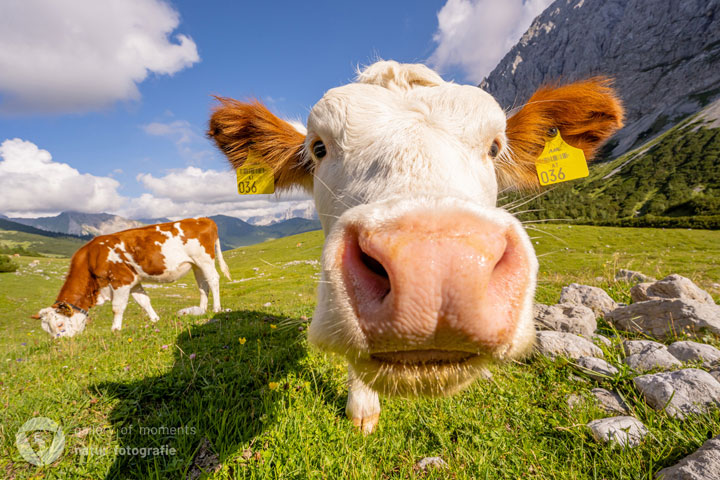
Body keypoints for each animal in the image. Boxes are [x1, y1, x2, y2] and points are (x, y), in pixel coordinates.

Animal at [34, 218, 231, 338]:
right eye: (46, 329)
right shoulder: (134, 281)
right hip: (196, 265)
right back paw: (202, 309)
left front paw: (115, 329)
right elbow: (144, 302)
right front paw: (155, 320)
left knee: (213, 280)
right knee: (203, 285)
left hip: (204, 259)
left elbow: (117, 308)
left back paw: (216, 308)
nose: (61, 342)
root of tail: (203, 219)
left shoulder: (121, 281)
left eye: (60, 324)